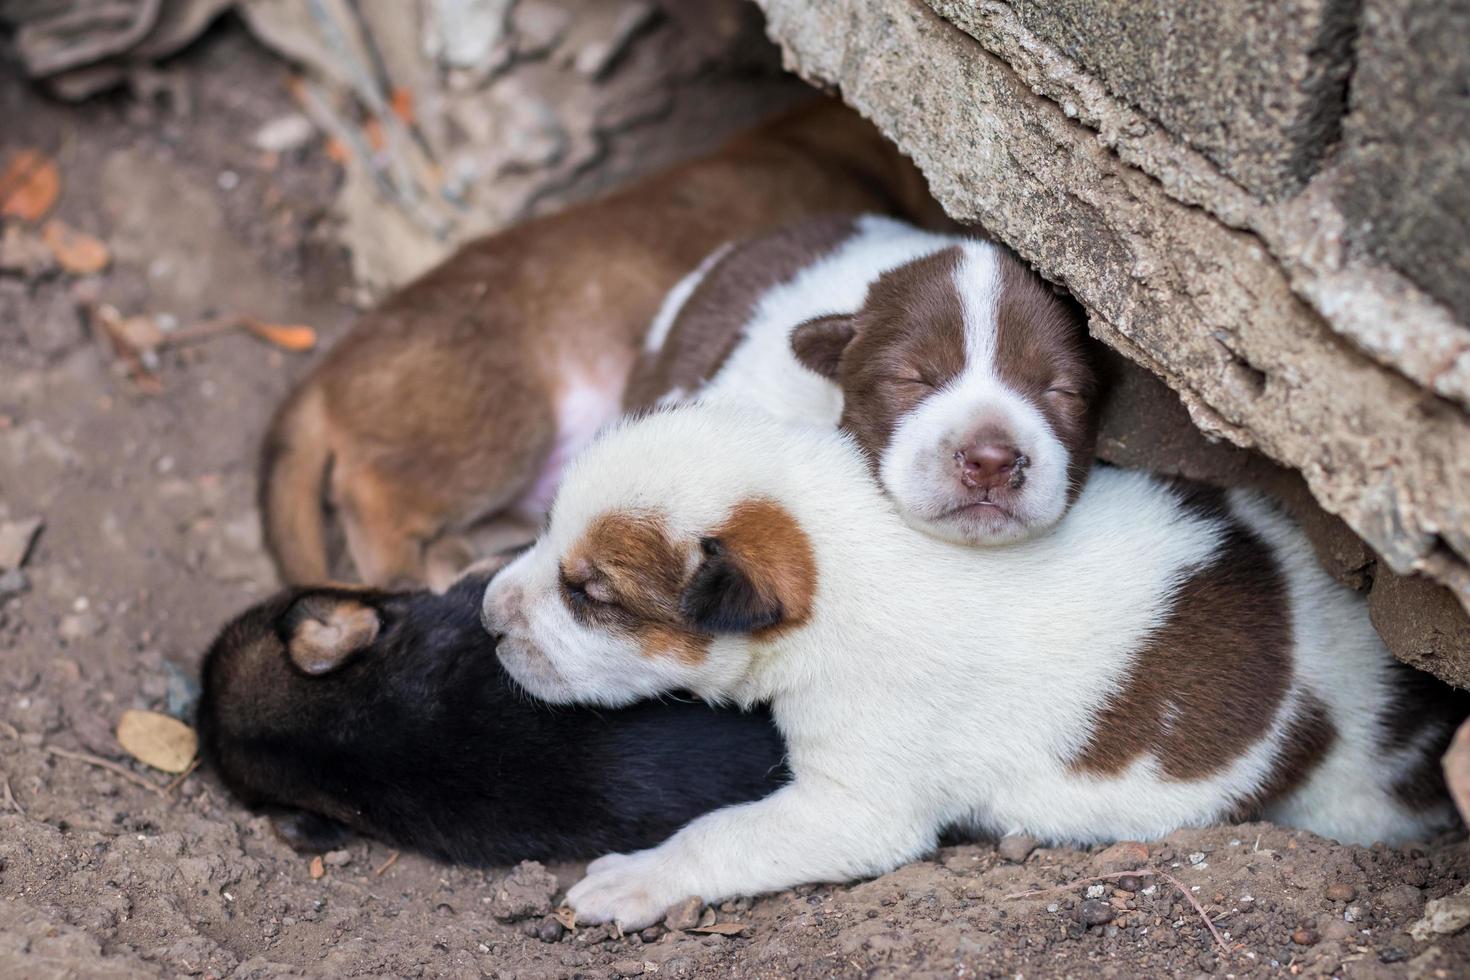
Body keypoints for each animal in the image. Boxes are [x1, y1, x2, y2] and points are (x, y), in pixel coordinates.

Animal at [479, 405, 1458, 928]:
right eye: (545, 533)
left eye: (589, 593)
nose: (487, 618)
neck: (836, 552)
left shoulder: (855, 803)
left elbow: (723, 834)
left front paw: (638, 878)